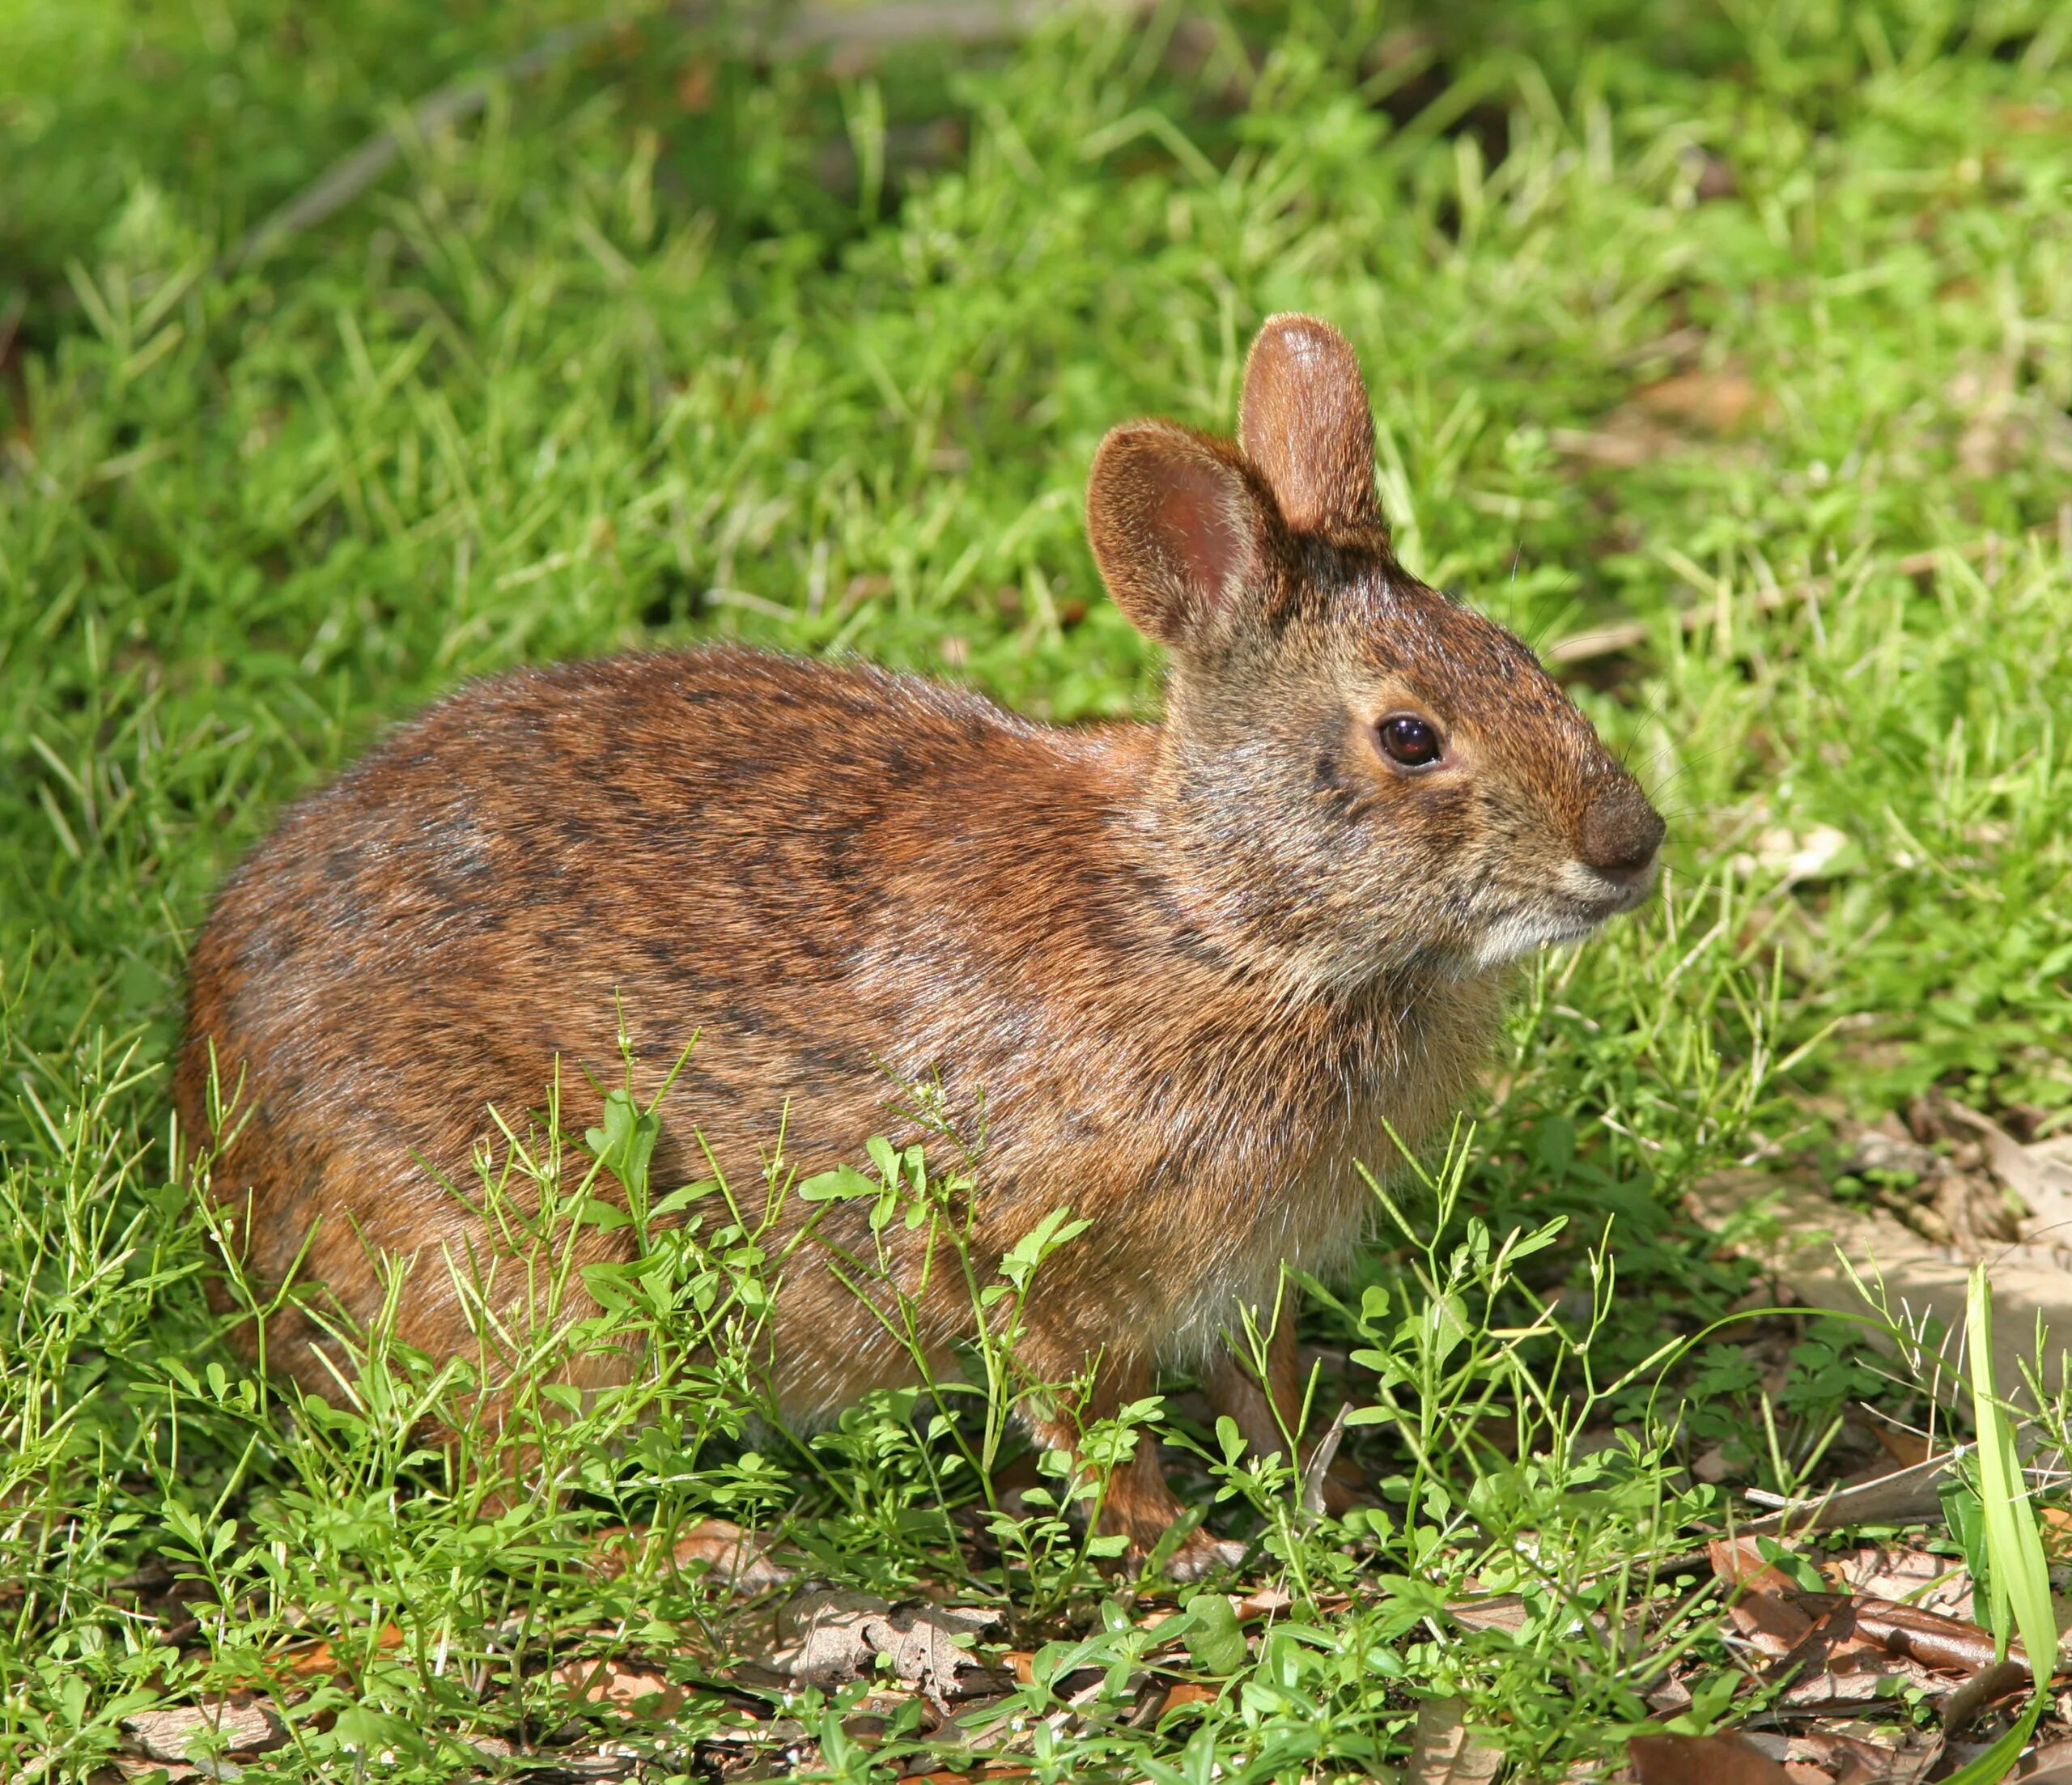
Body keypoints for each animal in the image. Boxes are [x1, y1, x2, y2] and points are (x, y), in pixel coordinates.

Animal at [178, 317, 1666, 1575]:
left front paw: (1338, 1503)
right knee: (509, 1493)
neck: (1218, 922)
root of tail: (222, 1170)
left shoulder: (1248, 1281)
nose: (1631, 844)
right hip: (546, 1269)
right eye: (1410, 737)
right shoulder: (1040, 1252)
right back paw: (706, 1553)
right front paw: (1174, 1547)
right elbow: (1091, 1413)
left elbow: (1274, 1394)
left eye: (1518, 652)